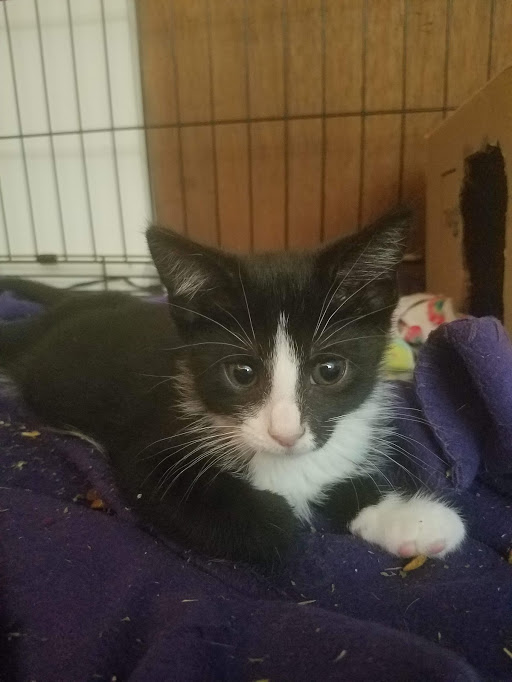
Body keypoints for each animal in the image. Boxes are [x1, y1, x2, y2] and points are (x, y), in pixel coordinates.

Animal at [0, 208, 465, 567]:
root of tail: (71, 302)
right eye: (242, 373)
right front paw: (280, 516)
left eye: (330, 370)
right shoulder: (147, 446)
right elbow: (196, 500)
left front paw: (407, 517)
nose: (286, 433)